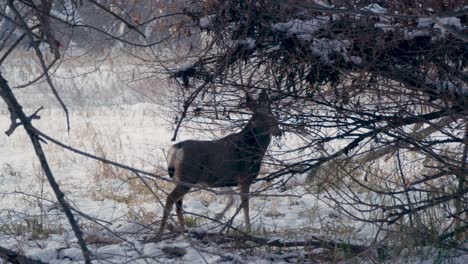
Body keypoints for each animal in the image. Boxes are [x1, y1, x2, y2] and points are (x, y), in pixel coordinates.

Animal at [159, 91, 280, 233]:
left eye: (273, 115)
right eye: (264, 117)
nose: (278, 131)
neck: (253, 149)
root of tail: (176, 148)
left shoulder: (224, 179)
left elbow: (232, 199)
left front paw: (218, 218)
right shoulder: (245, 177)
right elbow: (244, 204)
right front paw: (248, 229)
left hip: (180, 178)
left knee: (178, 204)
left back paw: (183, 231)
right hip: (188, 176)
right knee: (171, 199)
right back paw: (161, 232)